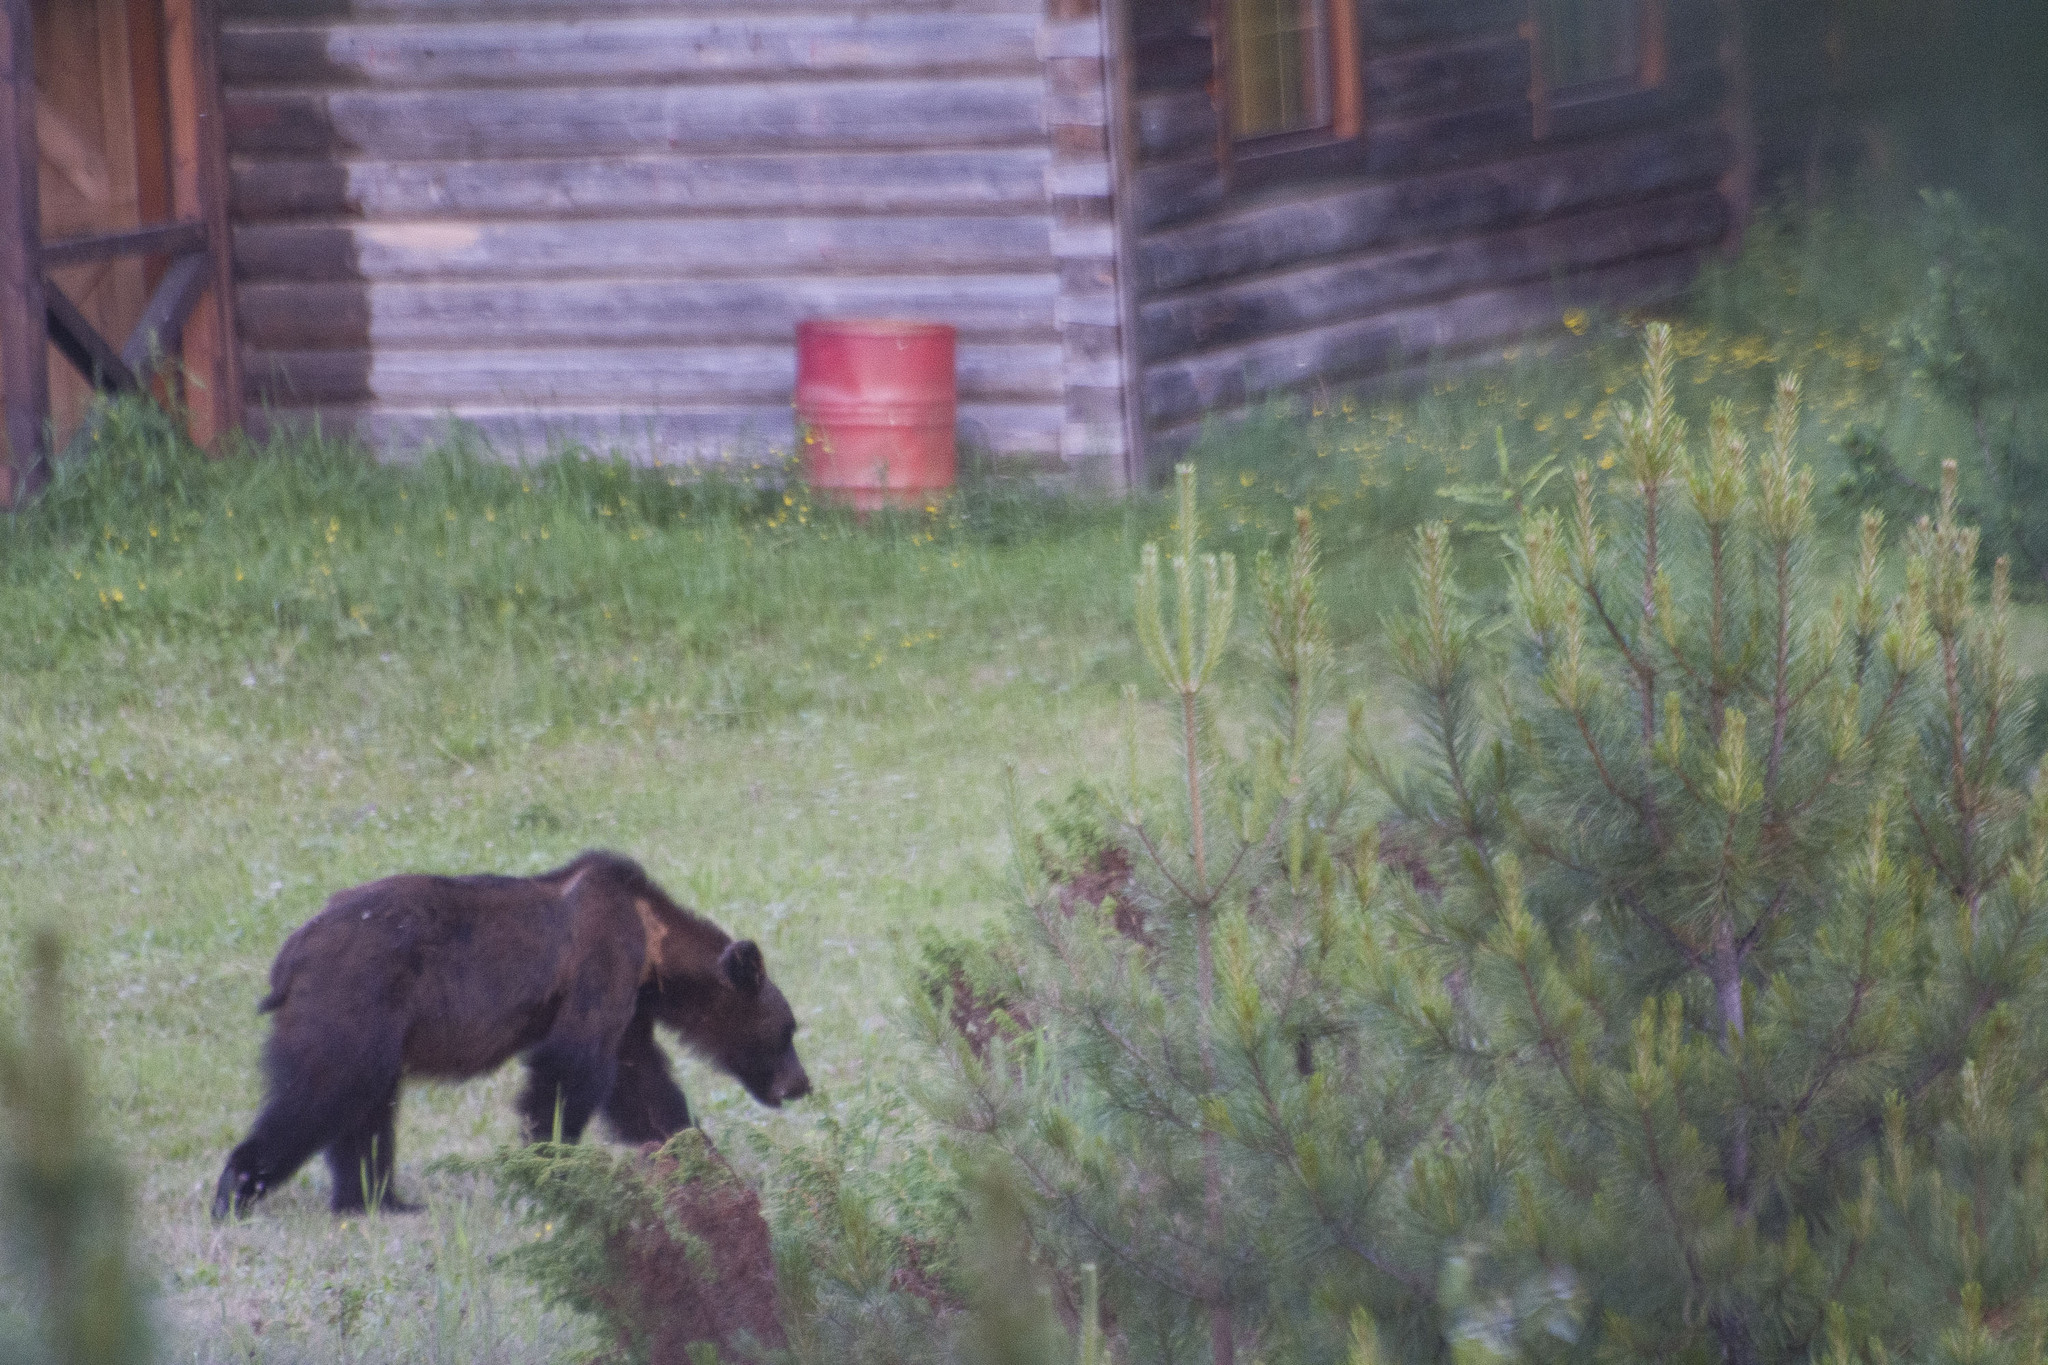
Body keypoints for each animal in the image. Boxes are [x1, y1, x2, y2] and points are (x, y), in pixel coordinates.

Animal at [211, 847, 806, 1219]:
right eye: (788, 1030)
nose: (803, 1085)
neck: (655, 943)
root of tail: (288, 958)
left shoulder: (630, 1007)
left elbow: (643, 1086)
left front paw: (702, 1162)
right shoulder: (602, 958)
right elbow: (572, 1066)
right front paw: (554, 1169)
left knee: (367, 1108)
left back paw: (379, 1201)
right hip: (352, 1001)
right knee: (325, 1090)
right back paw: (238, 1189)